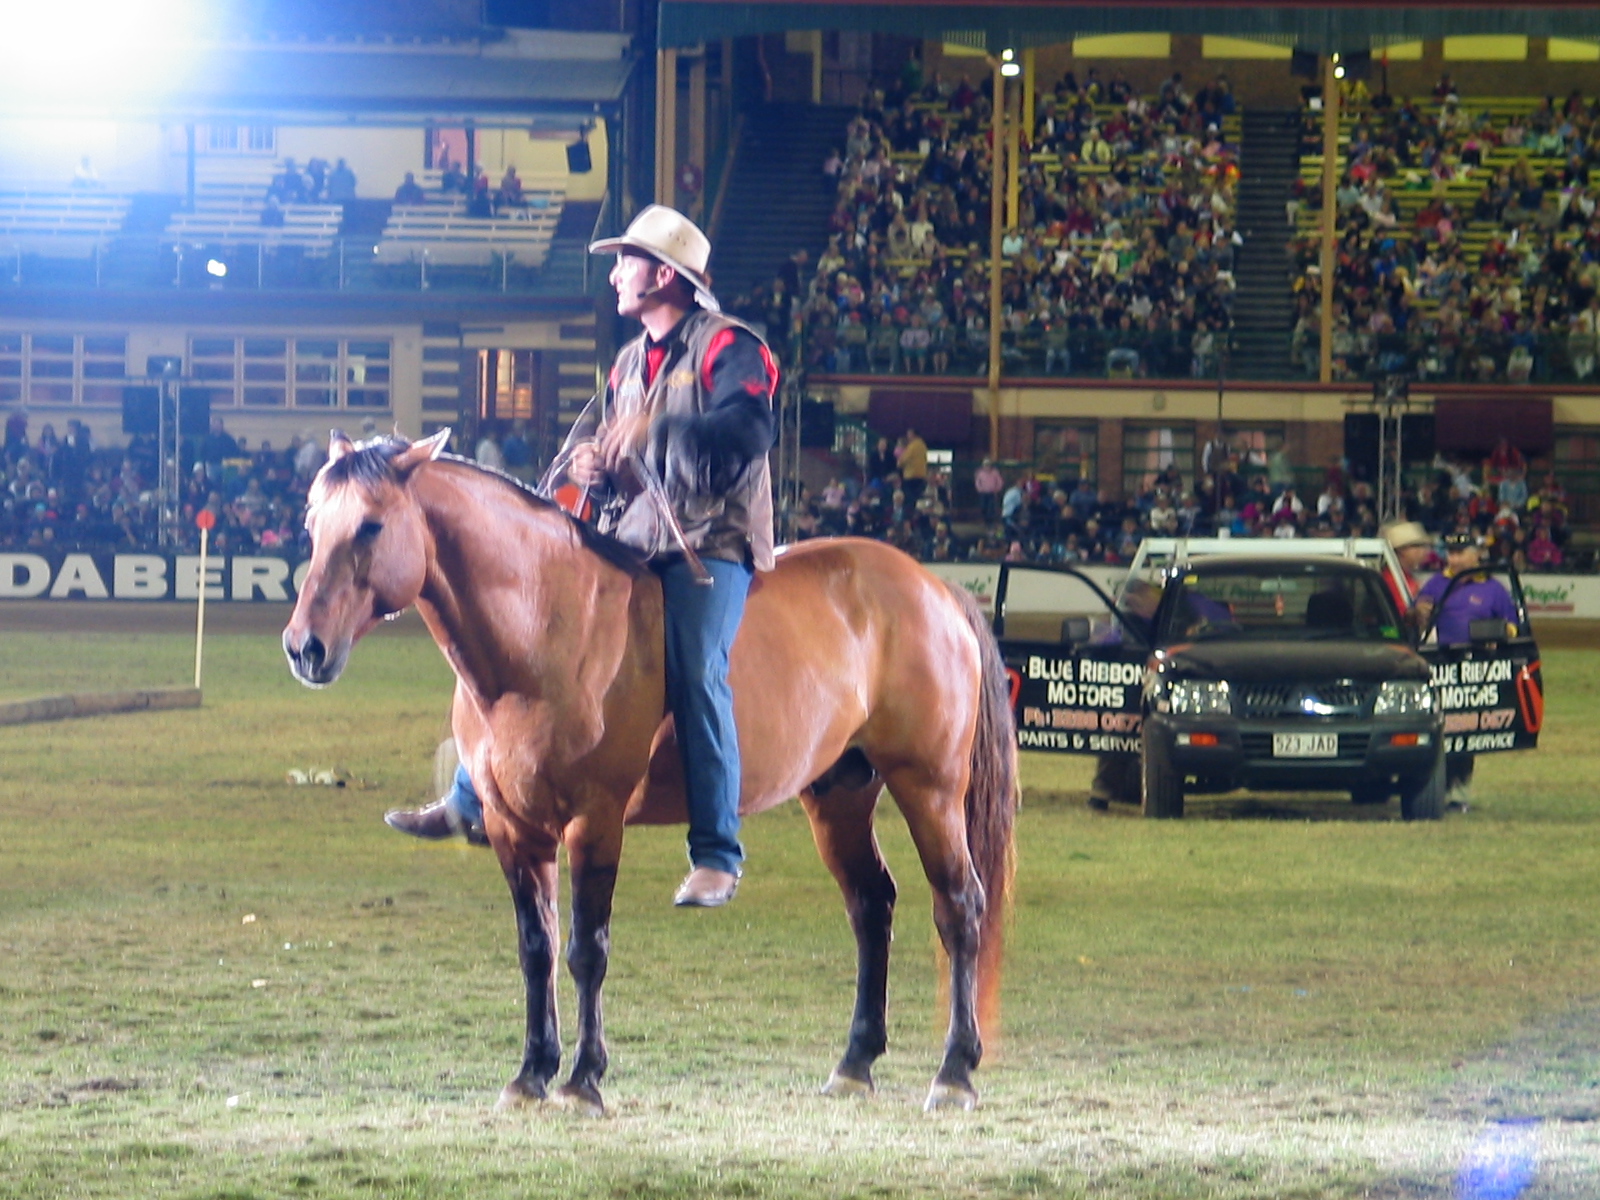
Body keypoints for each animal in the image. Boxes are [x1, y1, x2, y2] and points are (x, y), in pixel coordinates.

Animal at [283, 435, 1017, 1120]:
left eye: (372, 526)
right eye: (312, 523)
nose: (303, 648)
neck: (550, 628)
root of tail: (935, 587)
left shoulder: (595, 820)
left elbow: (587, 949)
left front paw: (583, 1080)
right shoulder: (513, 827)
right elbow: (535, 948)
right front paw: (531, 1073)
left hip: (929, 787)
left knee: (959, 906)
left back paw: (954, 1071)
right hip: (841, 794)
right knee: (871, 904)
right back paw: (855, 1062)